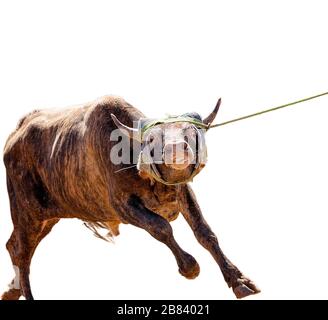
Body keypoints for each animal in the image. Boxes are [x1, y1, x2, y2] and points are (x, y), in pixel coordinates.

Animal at [1, 95, 260, 300]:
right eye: (153, 139)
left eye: (191, 132)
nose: (176, 149)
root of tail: (15, 135)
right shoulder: (122, 206)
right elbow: (161, 227)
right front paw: (189, 266)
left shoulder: (183, 191)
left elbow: (205, 233)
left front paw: (239, 281)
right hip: (26, 213)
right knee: (20, 251)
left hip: (46, 218)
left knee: (16, 247)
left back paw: (13, 289)